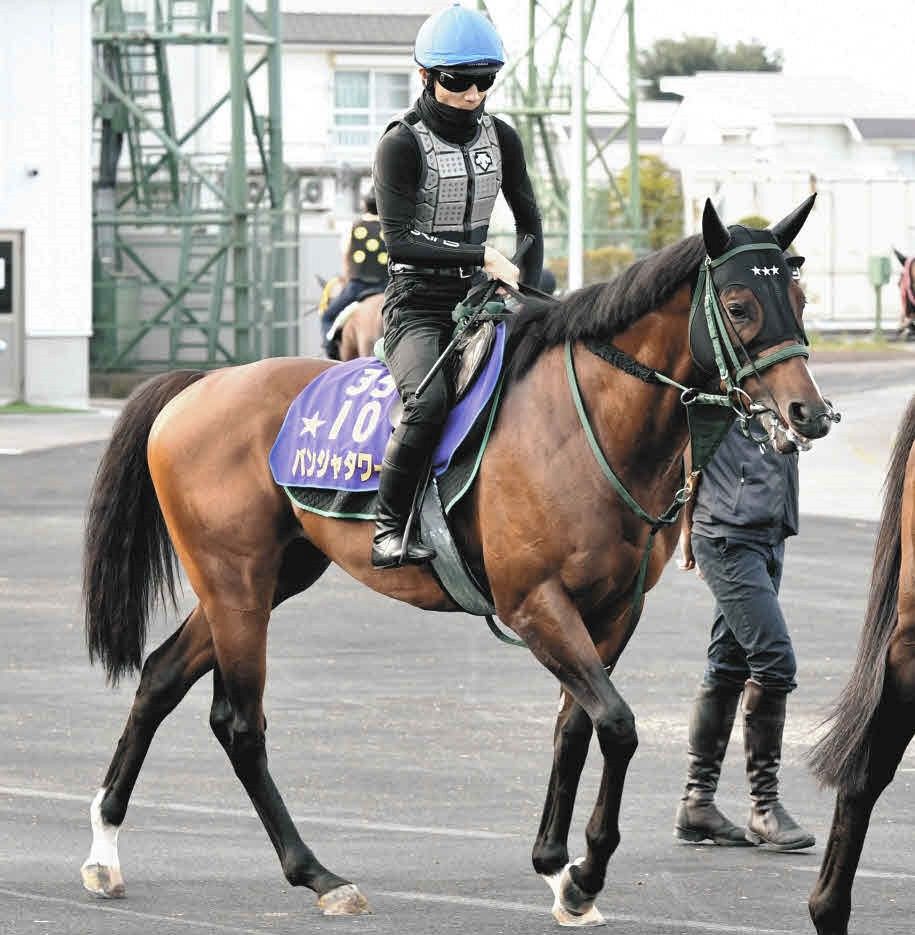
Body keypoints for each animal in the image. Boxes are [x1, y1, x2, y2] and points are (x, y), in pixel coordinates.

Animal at [80, 197, 835, 923]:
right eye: (738, 305)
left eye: (798, 299)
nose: (810, 413)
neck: (586, 423)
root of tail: (197, 387)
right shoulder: (535, 605)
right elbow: (617, 726)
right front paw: (586, 871)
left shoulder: (613, 613)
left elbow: (574, 726)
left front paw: (555, 866)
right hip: (235, 582)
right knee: (239, 725)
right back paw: (318, 874)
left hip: (265, 580)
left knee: (160, 676)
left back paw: (105, 846)